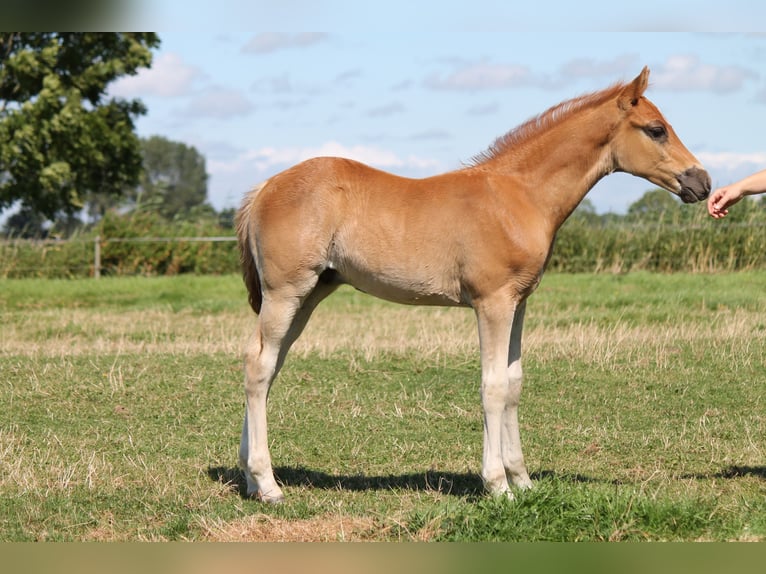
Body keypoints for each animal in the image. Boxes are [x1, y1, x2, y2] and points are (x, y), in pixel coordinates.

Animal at [234, 67, 711, 503]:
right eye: (656, 129)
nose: (702, 182)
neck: (519, 197)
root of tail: (266, 186)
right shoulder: (492, 302)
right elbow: (493, 386)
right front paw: (498, 485)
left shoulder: (519, 302)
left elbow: (514, 383)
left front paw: (523, 479)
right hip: (286, 292)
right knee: (258, 366)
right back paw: (268, 484)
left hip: (311, 294)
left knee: (269, 365)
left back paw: (250, 479)